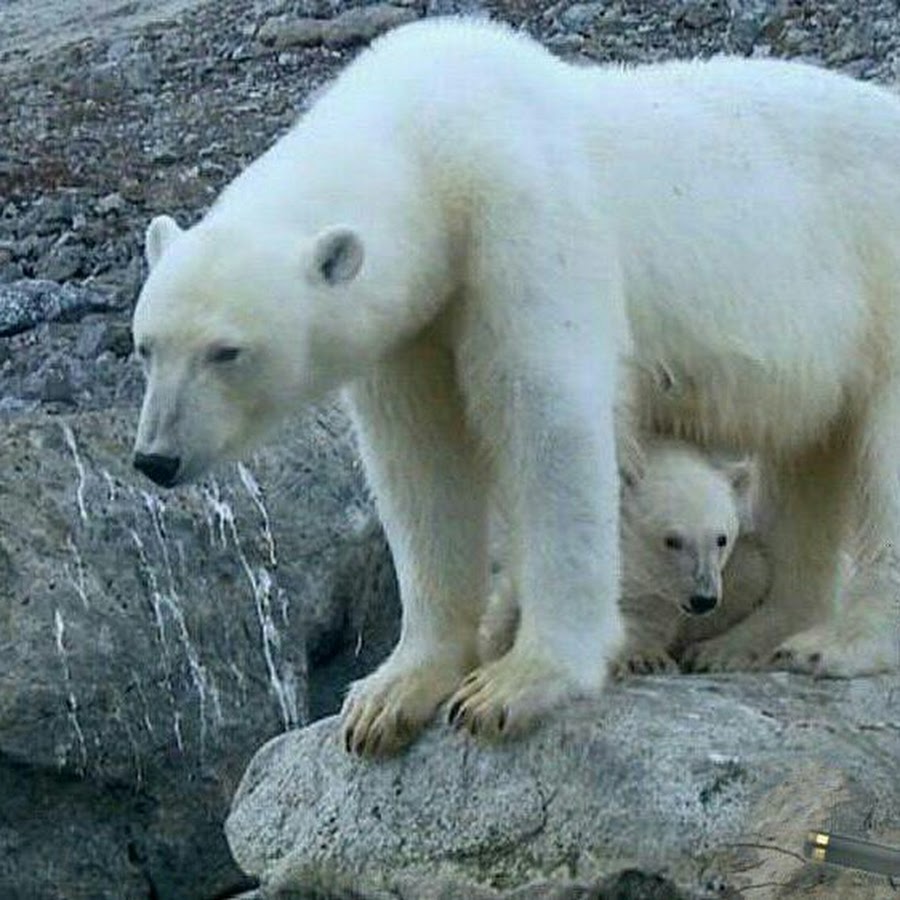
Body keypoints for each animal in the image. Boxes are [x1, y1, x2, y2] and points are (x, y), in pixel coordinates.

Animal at [132, 17, 900, 756]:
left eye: (226, 351)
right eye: (146, 345)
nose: (156, 458)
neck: (432, 135)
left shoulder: (523, 227)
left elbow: (552, 430)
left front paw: (514, 685)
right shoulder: (415, 326)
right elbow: (421, 464)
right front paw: (389, 696)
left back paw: (837, 645)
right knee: (810, 460)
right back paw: (755, 637)